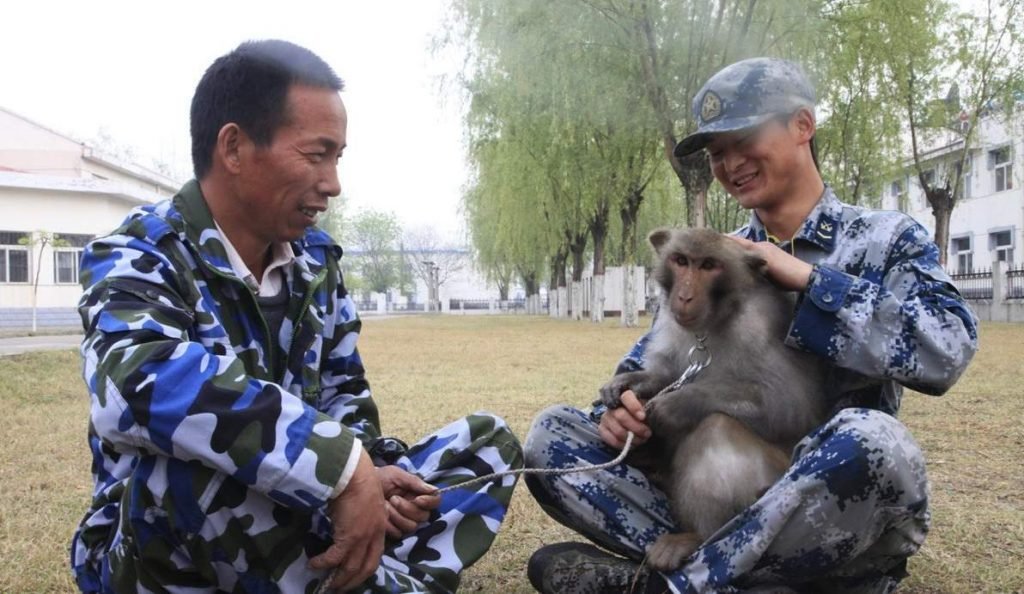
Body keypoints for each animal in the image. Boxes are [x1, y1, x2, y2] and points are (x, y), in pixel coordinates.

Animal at [598, 227, 831, 569]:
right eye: (681, 261)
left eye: (709, 266)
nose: (684, 296)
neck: (710, 325)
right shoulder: (670, 321)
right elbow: (667, 372)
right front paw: (629, 388)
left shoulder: (759, 325)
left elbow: (788, 404)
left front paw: (678, 404)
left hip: (773, 479)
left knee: (717, 428)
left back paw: (696, 537)